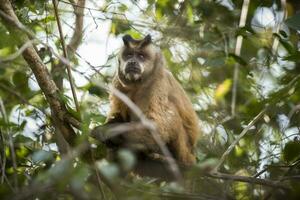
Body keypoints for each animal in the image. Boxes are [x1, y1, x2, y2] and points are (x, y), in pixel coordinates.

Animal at [91, 34, 199, 166]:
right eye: (129, 55)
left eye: (141, 56)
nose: (132, 61)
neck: (137, 85)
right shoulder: (118, 83)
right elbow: (117, 115)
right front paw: (105, 131)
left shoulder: (157, 81)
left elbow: (156, 128)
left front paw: (106, 132)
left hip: (183, 152)